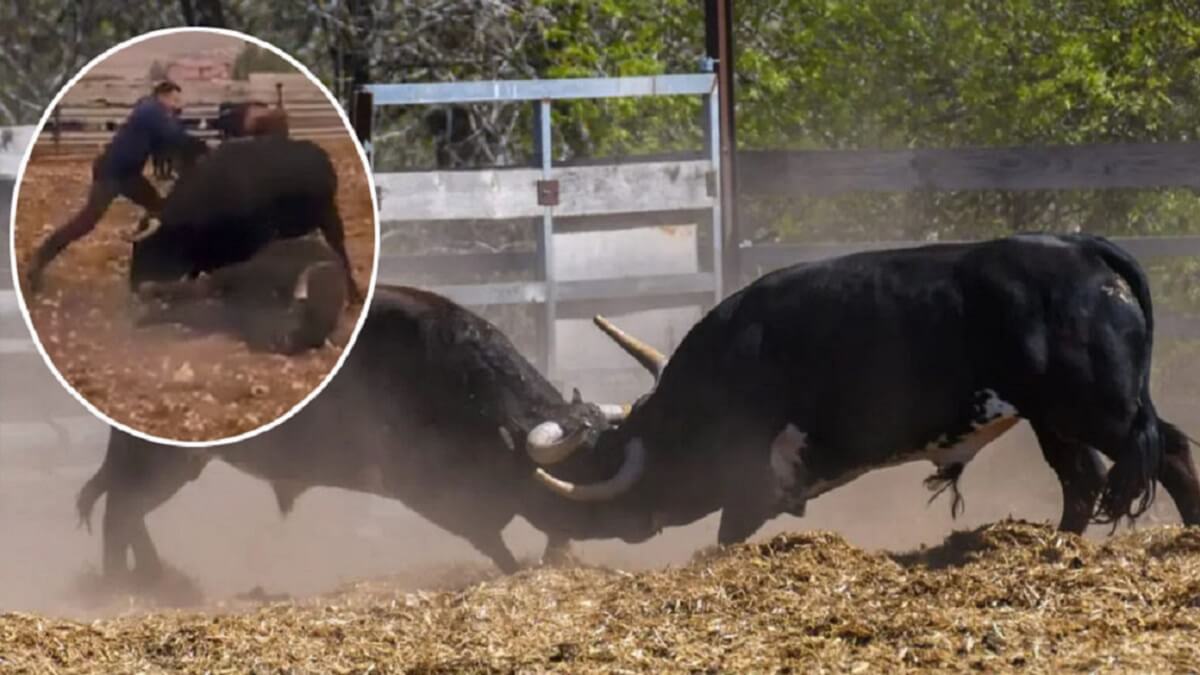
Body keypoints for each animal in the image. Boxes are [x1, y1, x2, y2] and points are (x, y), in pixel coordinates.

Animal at [78, 281, 633, 581]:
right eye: (579, 468)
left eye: (607, 453)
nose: (621, 521)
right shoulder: (435, 495)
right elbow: (494, 543)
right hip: (164, 460)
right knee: (120, 509)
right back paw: (123, 585)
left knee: (124, 509)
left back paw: (151, 578)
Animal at [128, 136, 360, 302]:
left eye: (149, 248)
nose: (133, 286)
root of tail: (321, 156)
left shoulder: (254, 241)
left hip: (328, 215)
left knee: (340, 250)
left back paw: (353, 294)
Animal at [535, 234, 1200, 542]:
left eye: (605, 461)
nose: (580, 528)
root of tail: (1081, 249)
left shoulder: (753, 483)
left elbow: (726, 536)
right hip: (1056, 419)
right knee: (1082, 482)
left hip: (1099, 409)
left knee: (1168, 454)